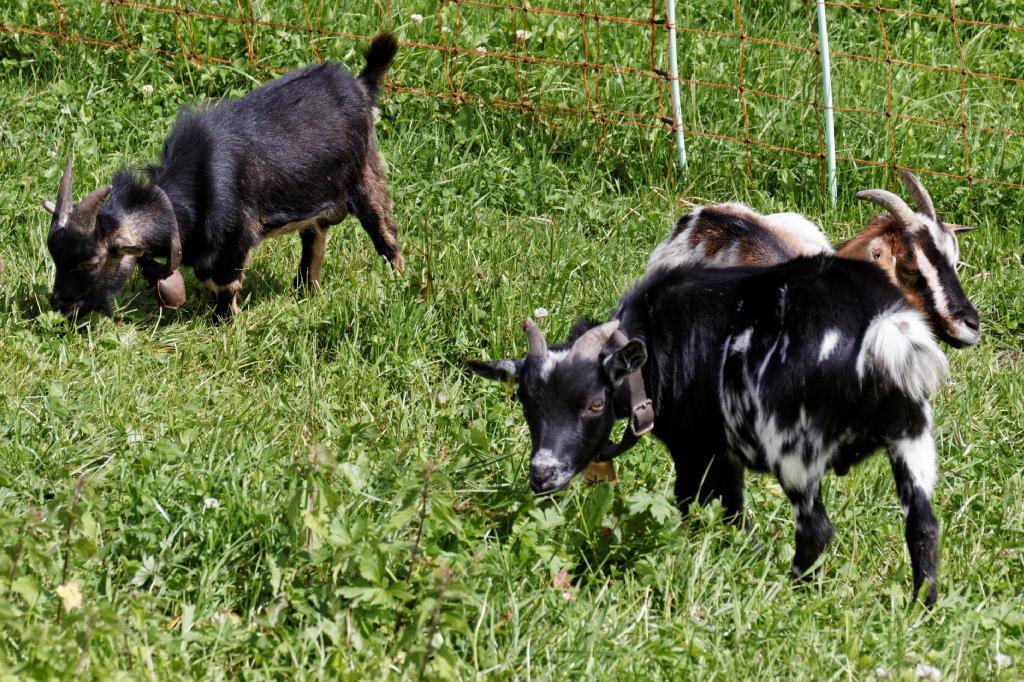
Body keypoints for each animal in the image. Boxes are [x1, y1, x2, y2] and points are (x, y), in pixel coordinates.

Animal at [44, 33, 403, 317]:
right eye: (55, 257)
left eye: (91, 262)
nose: (60, 304)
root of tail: (359, 86)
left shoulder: (235, 236)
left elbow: (224, 283)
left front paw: (225, 321)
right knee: (314, 236)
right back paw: (305, 291)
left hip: (365, 176)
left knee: (383, 229)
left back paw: (397, 279)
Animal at [471, 256, 950, 606]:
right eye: (526, 403)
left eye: (594, 403)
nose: (542, 474)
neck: (657, 339)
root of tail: (881, 329)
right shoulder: (726, 450)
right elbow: (733, 508)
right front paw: (747, 551)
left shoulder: (693, 447)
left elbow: (688, 500)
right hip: (911, 434)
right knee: (923, 526)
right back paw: (921, 607)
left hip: (795, 447)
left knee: (816, 529)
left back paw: (793, 591)